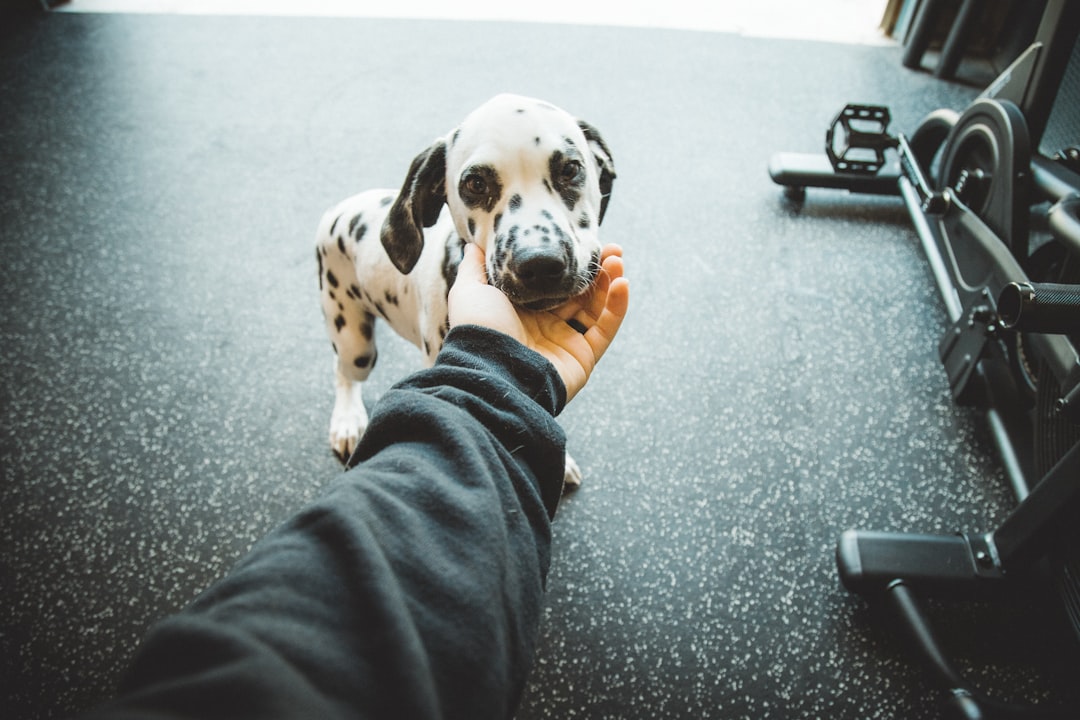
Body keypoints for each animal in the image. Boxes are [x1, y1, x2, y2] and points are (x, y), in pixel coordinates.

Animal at [313, 95, 617, 487]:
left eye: (570, 169)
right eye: (475, 183)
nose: (539, 264)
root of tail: (338, 210)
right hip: (354, 341)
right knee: (343, 370)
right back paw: (348, 421)